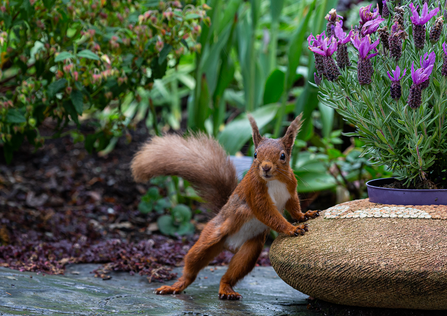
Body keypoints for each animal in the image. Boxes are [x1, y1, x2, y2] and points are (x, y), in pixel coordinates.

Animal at [131, 113, 320, 298]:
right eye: (255, 155)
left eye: (283, 156)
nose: (266, 167)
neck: (274, 180)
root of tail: (230, 246)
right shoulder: (254, 192)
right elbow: (267, 213)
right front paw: (291, 228)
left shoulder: (290, 190)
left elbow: (293, 206)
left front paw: (304, 215)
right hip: (211, 236)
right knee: (192, 265)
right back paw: (175, 286)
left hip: (250, 250)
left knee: (233, 271)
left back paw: (226, 289)